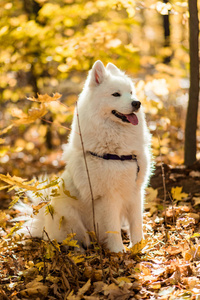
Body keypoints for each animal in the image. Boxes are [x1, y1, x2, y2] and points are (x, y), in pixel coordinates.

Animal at [17, 61, 152, 253]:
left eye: (131, 92)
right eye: (116, 94)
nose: (137, 103)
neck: (118, 152)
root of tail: (42, 224)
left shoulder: (135, 191)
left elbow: (136, 224)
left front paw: (138, 248)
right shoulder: (108, 197)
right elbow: (112, 228)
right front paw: (118, 252)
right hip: (70, 219)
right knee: (73, 241)